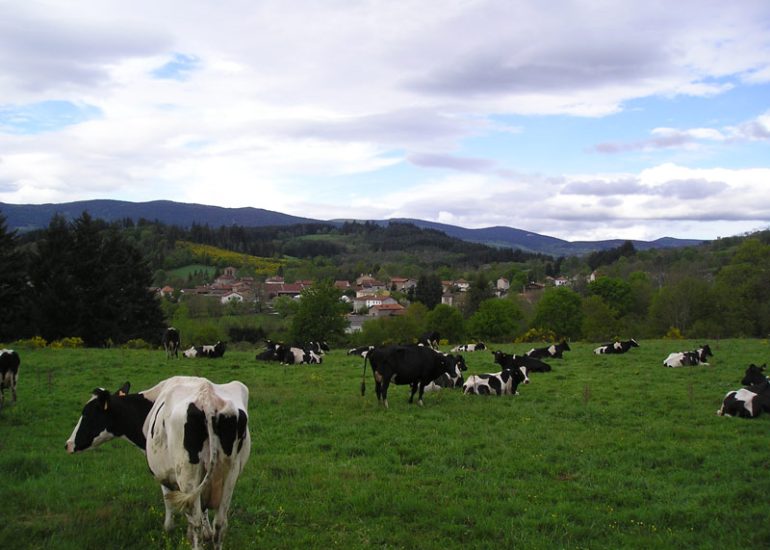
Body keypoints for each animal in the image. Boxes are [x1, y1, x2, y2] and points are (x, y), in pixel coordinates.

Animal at [65, 378, 249, 548]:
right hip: (230, 475)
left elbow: (169, 500)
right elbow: (202, 510)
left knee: (195, 521)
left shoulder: (164, 472)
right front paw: (206, 533)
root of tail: (207, 398)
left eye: (87, 414)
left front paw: (169, 528)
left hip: (187, 476)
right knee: (220, 523)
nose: (68, 444)